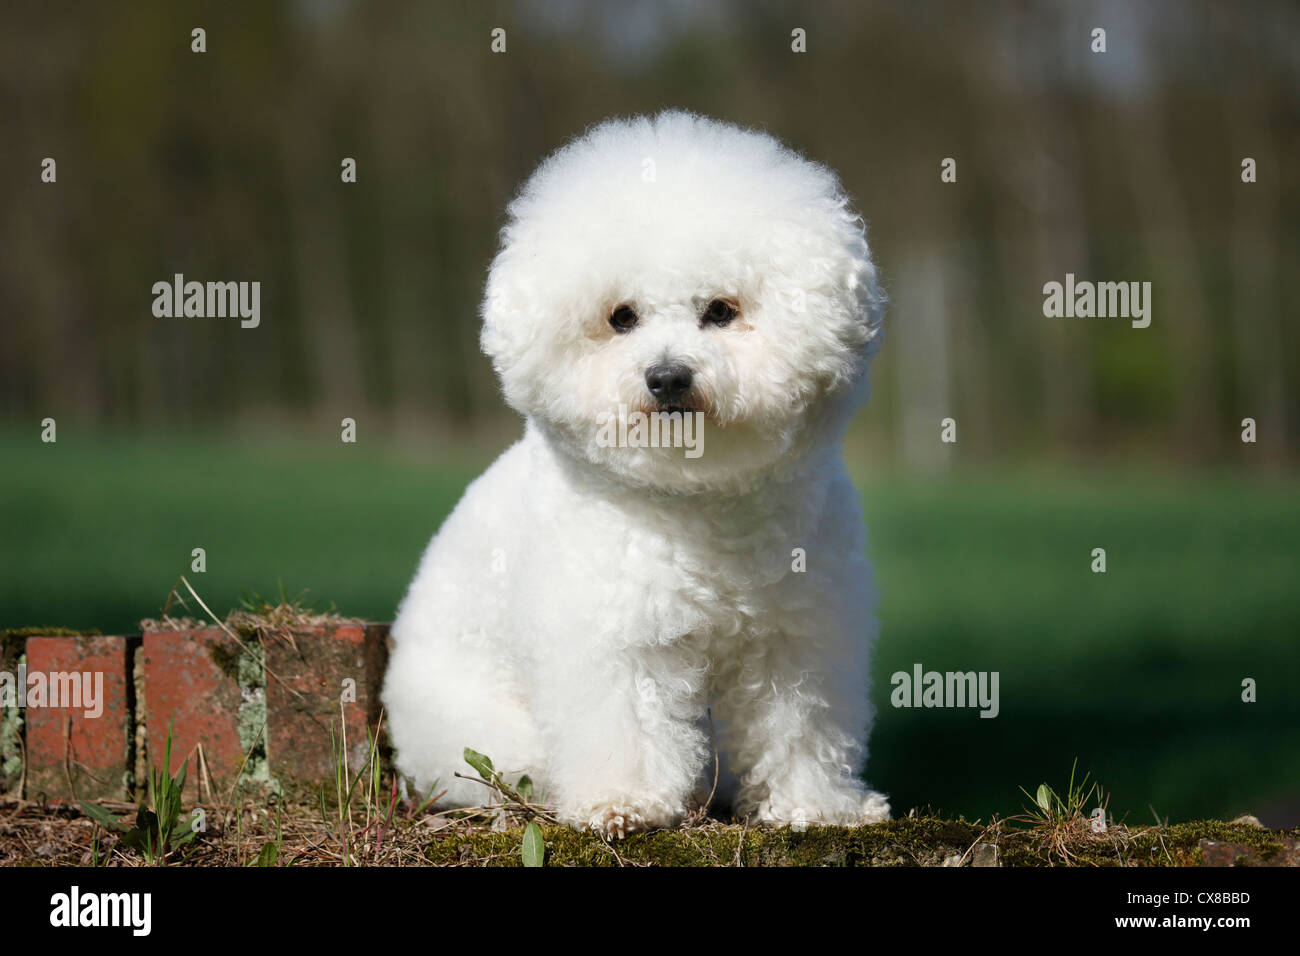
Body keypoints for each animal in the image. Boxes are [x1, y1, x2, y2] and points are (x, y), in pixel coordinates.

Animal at [382, 111, 894, 837]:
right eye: (622, 317)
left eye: (721, 310)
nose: (668, 377)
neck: (699, 500)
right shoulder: (617, 639)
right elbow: (625, 725)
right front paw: (621, 803)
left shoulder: (797, 638)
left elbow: (799, 727)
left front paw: (816, 806)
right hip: (486, 738)